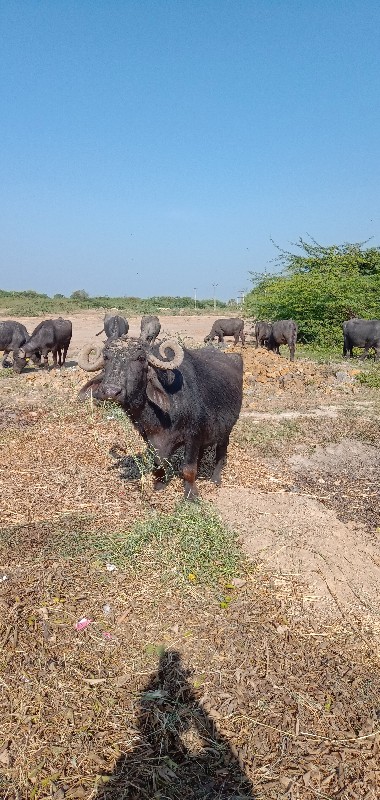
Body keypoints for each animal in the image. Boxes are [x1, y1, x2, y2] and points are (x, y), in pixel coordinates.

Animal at [78, 338, 243, 500]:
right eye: (106, 357)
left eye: (140, 358)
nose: (111, 391)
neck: (161, 417)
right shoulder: (149, 437)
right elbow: (158, 463)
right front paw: (159, 484)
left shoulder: (193, 435)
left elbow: (188, 468)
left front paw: (191, 494)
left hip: (226, 430)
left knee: (221, 452)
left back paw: (216, 478)